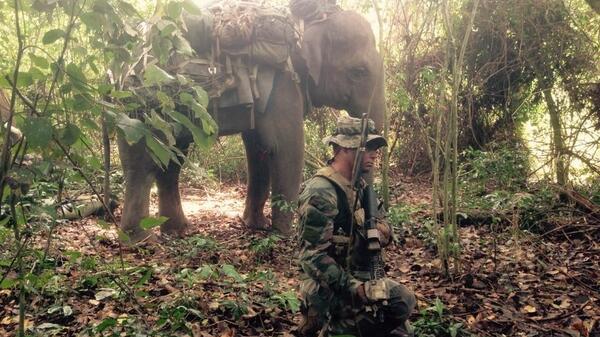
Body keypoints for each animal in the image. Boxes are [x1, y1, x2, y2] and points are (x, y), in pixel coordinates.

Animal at [117, 1, 384, 242]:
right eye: (358, 72)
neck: (303, 25)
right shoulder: (284, 85)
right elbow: (286, 149)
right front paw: (285, 235)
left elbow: (259, 151)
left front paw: (255, 225)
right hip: (142, 108)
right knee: (143, 163)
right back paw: (140, 240)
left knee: (170, 161)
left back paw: (177, 230)